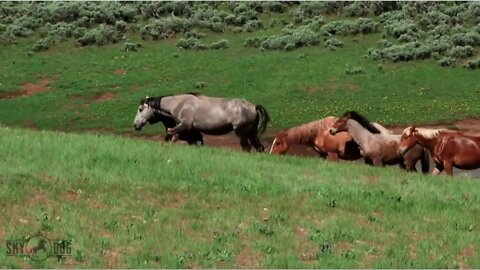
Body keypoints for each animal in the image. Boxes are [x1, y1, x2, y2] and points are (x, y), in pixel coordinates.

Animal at [135, 93, 270, 152]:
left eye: (140, 109)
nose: (135, 125)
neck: (180, 104)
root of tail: (254, 107)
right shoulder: (193, 134)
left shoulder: (184, 126)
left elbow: (171, 134)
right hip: (252, 134)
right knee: (259, 148)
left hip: (241, 134)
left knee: (247, 148)